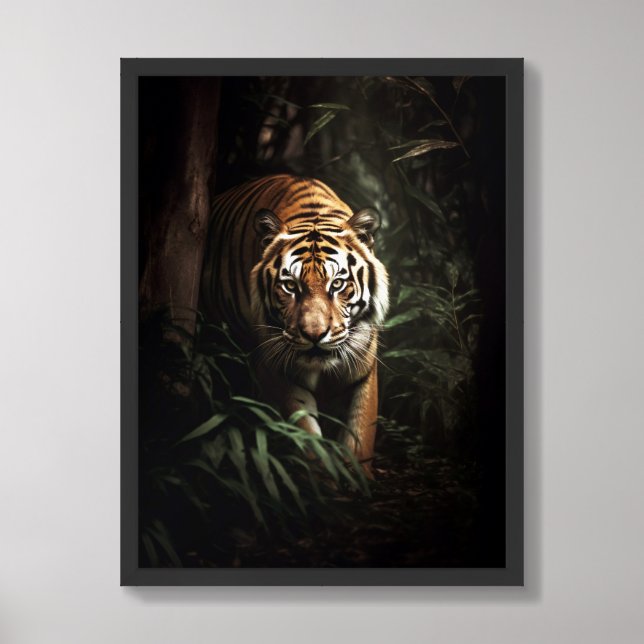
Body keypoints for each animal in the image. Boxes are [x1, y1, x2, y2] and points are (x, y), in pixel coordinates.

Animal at [200, 174, 389, 474]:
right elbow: (306, 435)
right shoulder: (277, 367)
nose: (314, 334)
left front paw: (356, 477)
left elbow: (360, 435)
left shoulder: (363, 368)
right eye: (290, 286)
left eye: (337, 284)